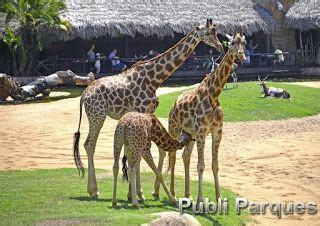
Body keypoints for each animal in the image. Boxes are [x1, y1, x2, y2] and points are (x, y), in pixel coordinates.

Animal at [73, 19, 222, 198]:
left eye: (215, 31)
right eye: (207, 33)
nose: (220, 46)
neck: (155, 78)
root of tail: (84, 96)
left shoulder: (149, 111)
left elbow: (146, 149)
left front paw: (137, 192)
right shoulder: (140, 109)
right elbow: (140, 149)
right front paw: (139, 192)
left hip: (95, 115)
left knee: (88, 144)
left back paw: (94, 190)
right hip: (98, 115)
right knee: (89, 144)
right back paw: (94, 190)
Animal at [153, 31, 248, 203]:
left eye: (244, 42)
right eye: (231, 43)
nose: (242, 56)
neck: (214, 95)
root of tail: (173, 105)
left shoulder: (217, 131)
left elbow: (215, 165)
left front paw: (218, 198)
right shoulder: (202, 132)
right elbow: (201, 165)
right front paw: (200, 200)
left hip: (189, 134)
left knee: (185, 156)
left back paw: (186, 194)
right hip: (175, 128)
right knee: (171, 154)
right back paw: (167, 193)